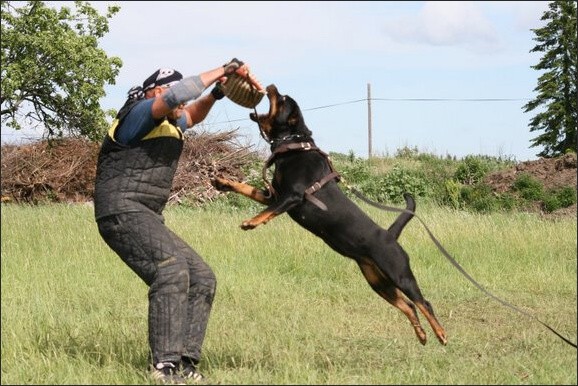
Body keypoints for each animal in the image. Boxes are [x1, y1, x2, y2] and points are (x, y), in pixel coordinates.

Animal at [212, 85, 446, 346]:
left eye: (281, 99)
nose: (271, 86)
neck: (294, 147)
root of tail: (389, 235)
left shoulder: (292, 196)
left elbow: (267, 212)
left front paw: (251, 222)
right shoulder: (273, 195)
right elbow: (247, 189)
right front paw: (223, 183)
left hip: (399, 274)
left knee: (423, 302)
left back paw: (440, 333)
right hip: (377, 281)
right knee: (408, 306)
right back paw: (422, 334)